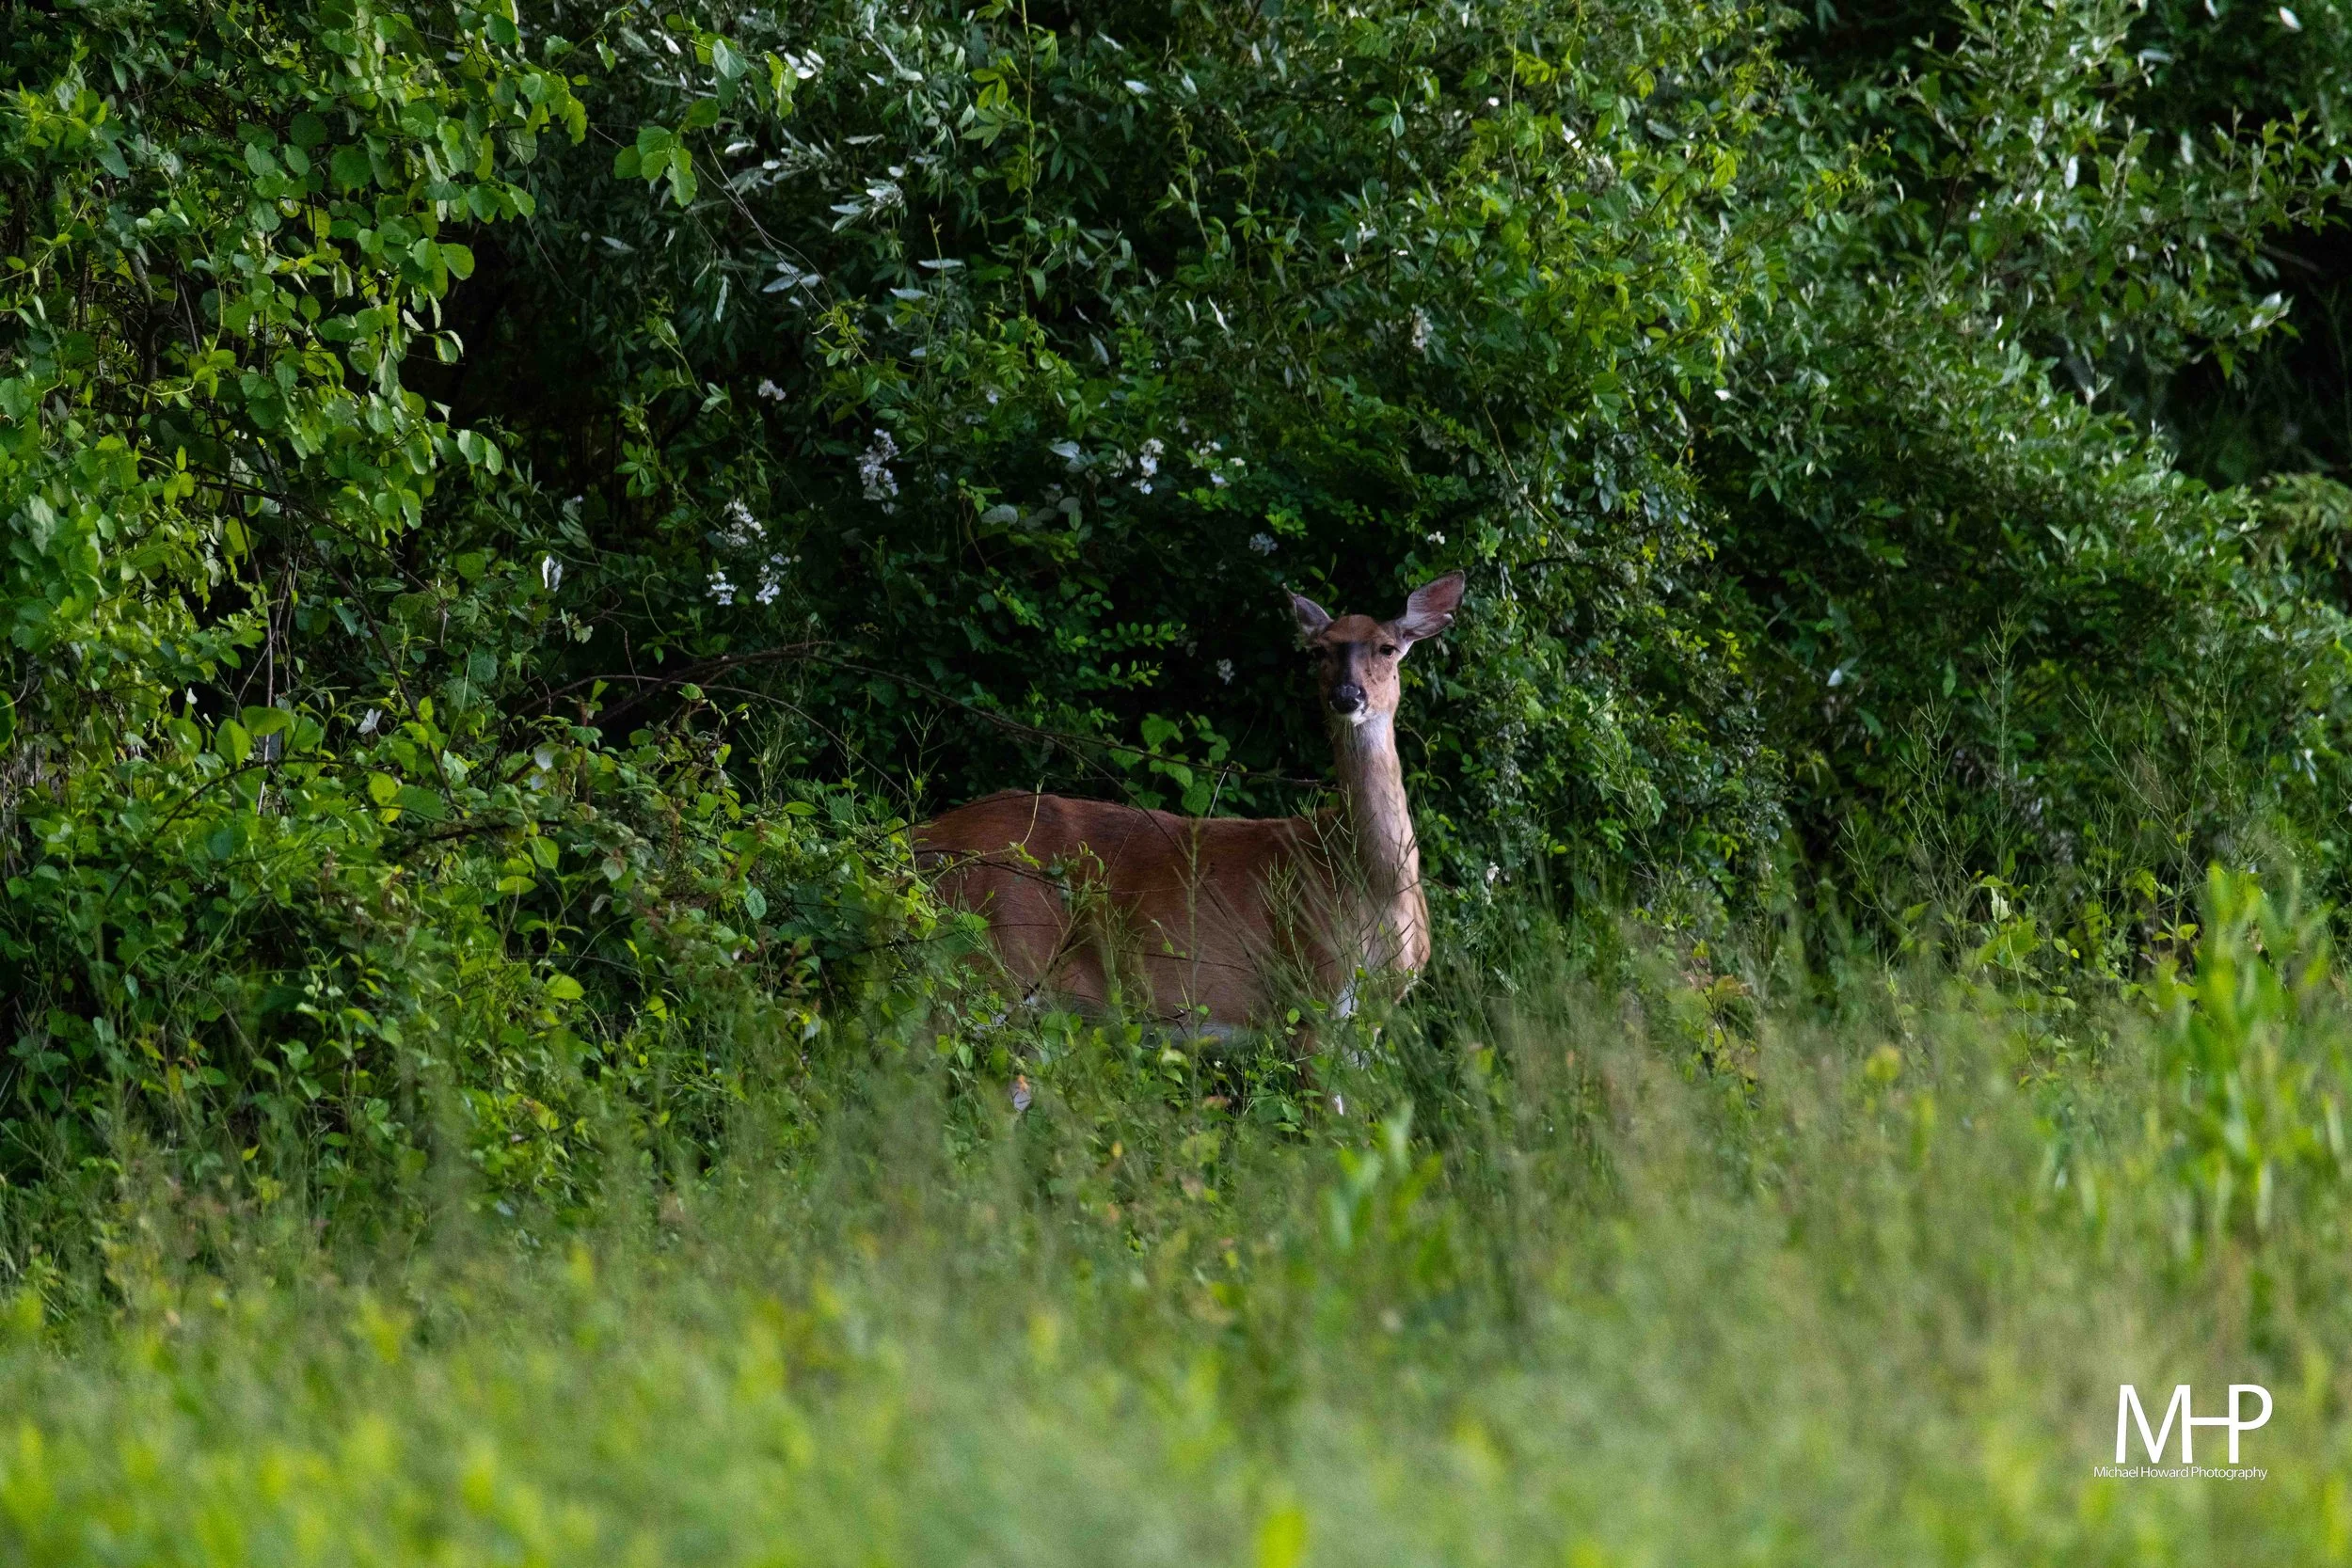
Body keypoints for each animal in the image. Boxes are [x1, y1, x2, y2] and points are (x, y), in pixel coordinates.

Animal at [915, 572, 1465, 1036]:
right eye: (1318, 653)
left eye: (1388, 647)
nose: (1347, 695)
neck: (1373, 882)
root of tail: (922, 837)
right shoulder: (1309, 994)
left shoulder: (1370, 1015)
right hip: (989, 954)